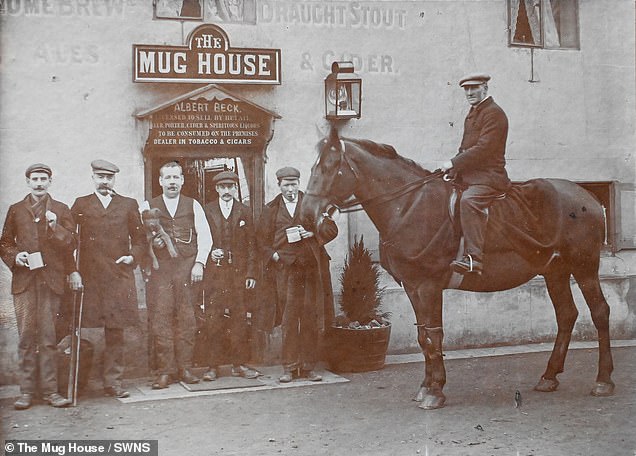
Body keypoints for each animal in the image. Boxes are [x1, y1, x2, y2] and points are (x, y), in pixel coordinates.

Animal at [304, 128, 616, 410]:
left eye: (329, 166)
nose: (306, 215)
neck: (410, 206)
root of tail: (588, 197)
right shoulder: (412, 287)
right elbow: (423, 337)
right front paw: (425, 387)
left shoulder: (428, 287)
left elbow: (434, 335)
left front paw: (435, 391)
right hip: (555, 271)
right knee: (566, 315)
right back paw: (549, 376)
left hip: (585, 266)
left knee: (600, 312)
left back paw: (603, 380)